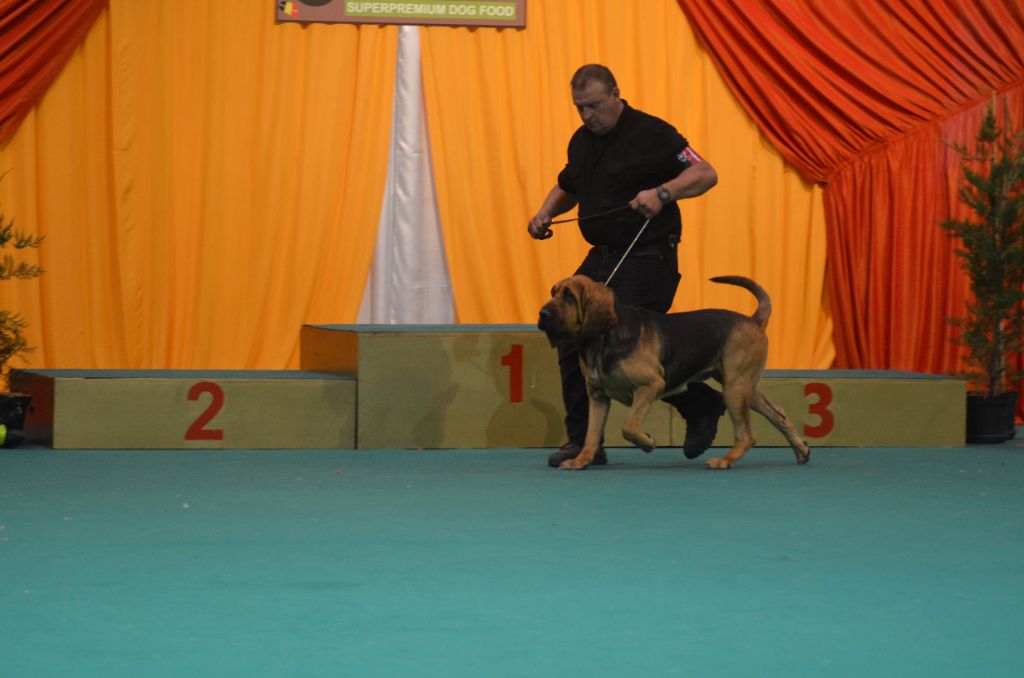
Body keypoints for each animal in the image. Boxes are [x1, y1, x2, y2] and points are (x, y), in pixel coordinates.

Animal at [540, 274, 811, 471]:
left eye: (569, 296)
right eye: (553, 292)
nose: (542, 314)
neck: (601, 341)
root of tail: (753, 320)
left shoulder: (650, 386)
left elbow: (629, 427)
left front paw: (648, 443)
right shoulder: (597, 398)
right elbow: (591, 435)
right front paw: (581, 461)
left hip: (736, 389)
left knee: (747, 435)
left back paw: (724, 460)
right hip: (746, 388)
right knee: (779, 415)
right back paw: (801, 450)